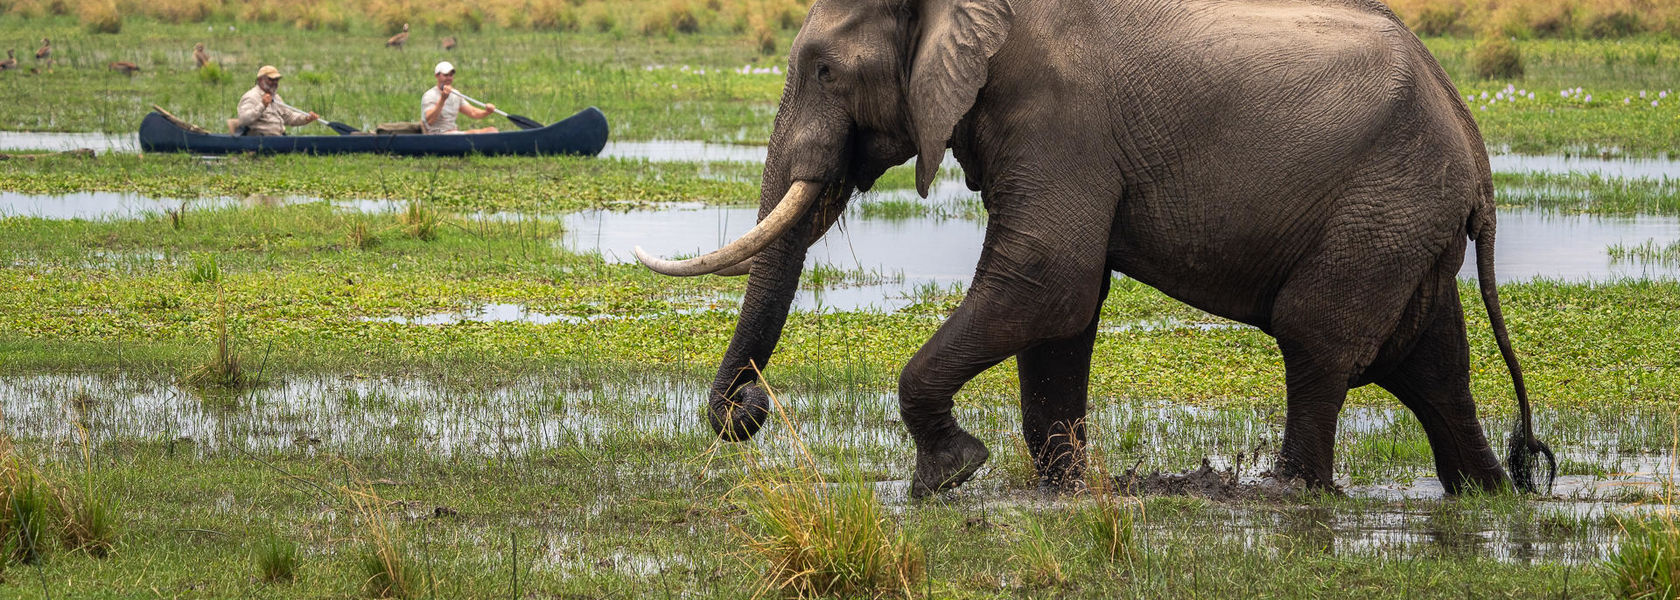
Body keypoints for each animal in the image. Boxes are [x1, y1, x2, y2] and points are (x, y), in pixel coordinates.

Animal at [635, 0, 1552, 494]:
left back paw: (1287, 493)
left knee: (1319, 340)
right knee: (1430, 366)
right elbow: (1062, 311)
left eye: (824, 70)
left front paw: (949, 475)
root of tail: (1474, 144)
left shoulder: (1056, 111)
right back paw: (1488, 495)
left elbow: (1049, 279)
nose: (746, 410)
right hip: (1404, 221)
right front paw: (1062, 488)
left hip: (1382, 206)